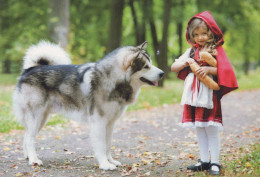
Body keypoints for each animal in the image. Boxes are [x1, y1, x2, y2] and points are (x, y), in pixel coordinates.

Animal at [12, 40, 162, 171]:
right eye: (146, 66)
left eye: (151, 63)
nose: (162, 73)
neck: (112, 80)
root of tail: (29, 69)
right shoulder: (99, 122)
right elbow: (101, 146)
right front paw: (105, 164)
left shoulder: (110, 123)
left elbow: (108, 145)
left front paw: (111, 161)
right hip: (36, 117)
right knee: (30, 138)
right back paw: (34, 160)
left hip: (42, 118)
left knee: (26, 136)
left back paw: (28, 157)